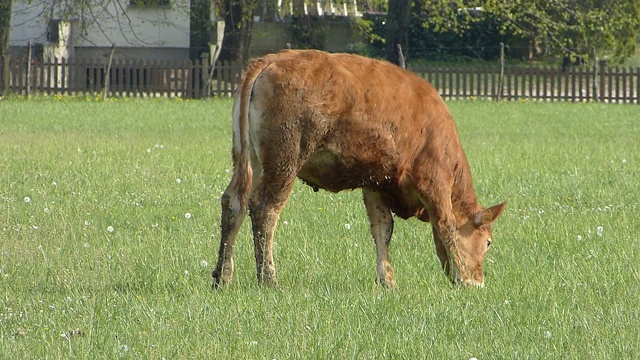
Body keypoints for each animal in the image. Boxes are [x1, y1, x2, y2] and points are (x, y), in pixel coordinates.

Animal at [214, 49, 504, 288]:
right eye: (488, 242)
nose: (479, 280)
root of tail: (269, 60)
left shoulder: (375, 184)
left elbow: (382, 229)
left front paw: (387, 280)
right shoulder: (435, 181)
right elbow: (447, 226)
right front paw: (463, 278)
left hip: (249, 160)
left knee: (234, 203)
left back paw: (222, 276)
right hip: (284, 160)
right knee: (265, 209)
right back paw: (268, 279)